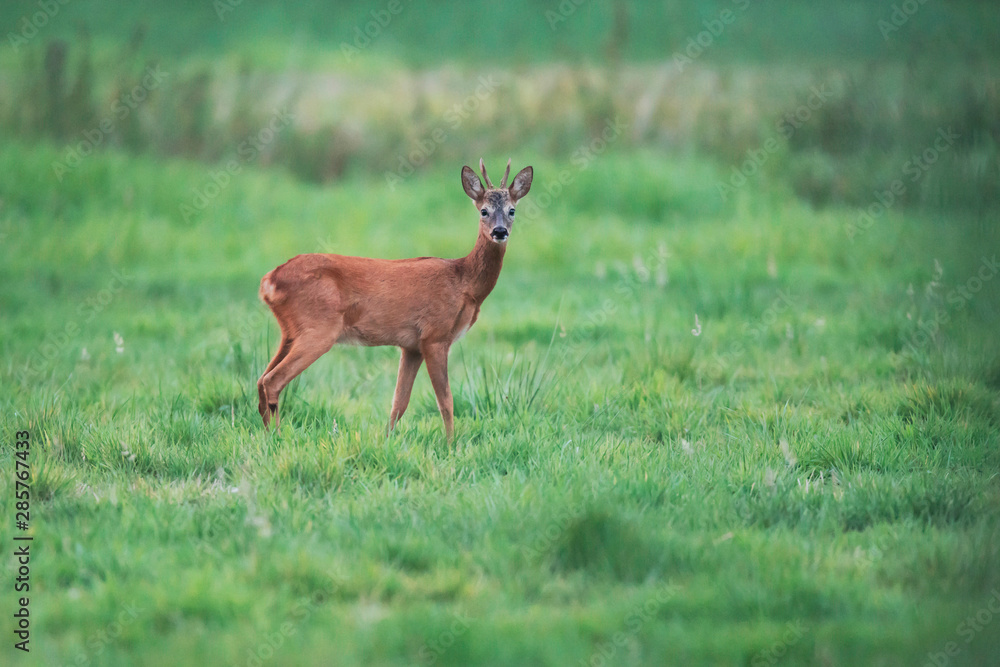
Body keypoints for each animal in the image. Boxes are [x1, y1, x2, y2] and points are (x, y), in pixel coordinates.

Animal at [256, 159, 532, 440]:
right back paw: (276, 436)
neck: (464, 283)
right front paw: (451, 443)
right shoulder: (435, 336)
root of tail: (270, 280)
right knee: (272, 380)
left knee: (261, 379)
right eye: (484, 211)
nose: (500, 231)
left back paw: (268, 435)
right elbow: (445, 400)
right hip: (319, 329)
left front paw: (387, 440)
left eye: (512, 211)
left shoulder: (411, 346)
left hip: (290, 332)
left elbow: (399, 403)